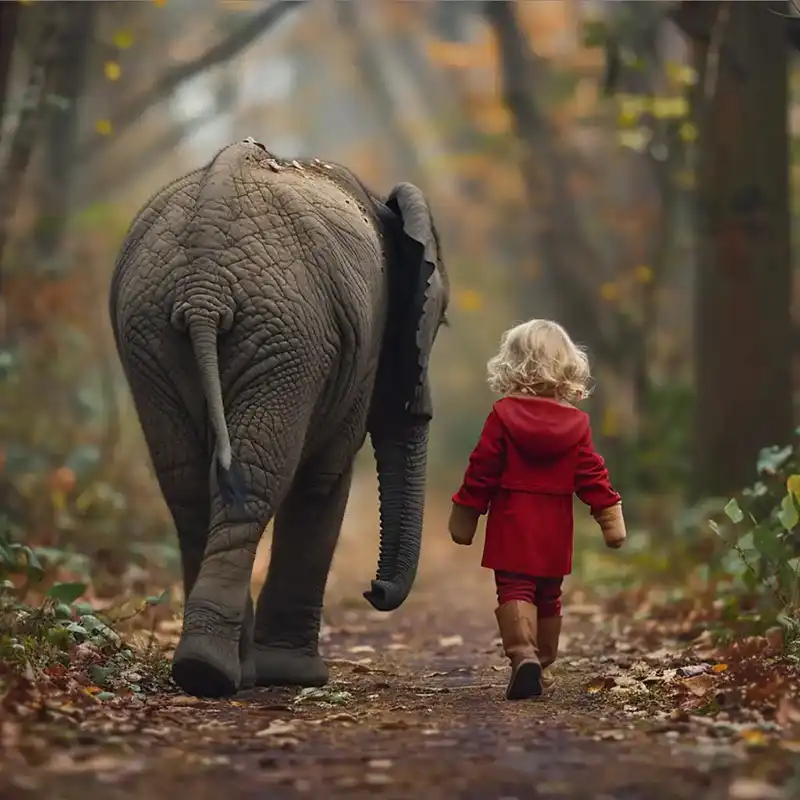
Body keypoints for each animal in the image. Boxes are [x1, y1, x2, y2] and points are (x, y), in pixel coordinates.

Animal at [109, 138, 449, 698]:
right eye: (436, 323)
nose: (373, 590)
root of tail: (204, 285)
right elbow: (324, 479)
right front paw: (297, 676)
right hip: (288, 338)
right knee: (259, 476)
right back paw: (219, 673)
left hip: (159, 331)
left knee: (187, 484)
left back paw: (211, 670)